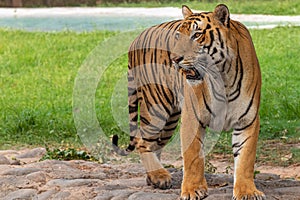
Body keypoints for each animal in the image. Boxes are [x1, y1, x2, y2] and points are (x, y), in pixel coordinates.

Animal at [112, 3, 264, 200]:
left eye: (197, 34)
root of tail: (135, 39)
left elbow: (246, 159)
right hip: (156, 108)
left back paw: (153, 177)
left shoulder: (248, 120)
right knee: (142, 141)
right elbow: (193, 157)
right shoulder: (192, 118)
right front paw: (192, 190)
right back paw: (159, 176)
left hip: (169, 121)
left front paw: (247, 191)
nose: (175, 59)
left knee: (154, 144)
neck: (223, 78)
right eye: (178, 36)